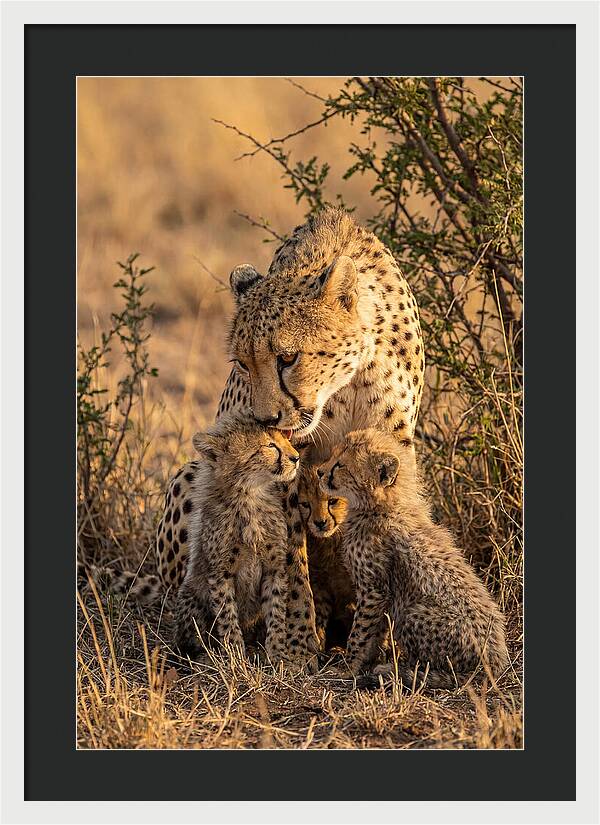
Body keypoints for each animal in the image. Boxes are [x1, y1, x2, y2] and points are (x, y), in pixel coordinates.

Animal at [174, 416, 299, 664]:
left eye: (285, 439)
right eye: (270, 445)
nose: (296, 458)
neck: (249, 496)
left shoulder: (274, 568)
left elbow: (276, 611)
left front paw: (277, 654)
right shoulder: (220, 573)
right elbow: (227, 615)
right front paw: (234, 656)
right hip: (191, 595)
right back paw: (205, 656)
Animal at [317, 428, 509, 688]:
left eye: (340, 465)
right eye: (333, 456)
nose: (319, 471)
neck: (381, 505)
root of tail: (496, 663)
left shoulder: (374, 590)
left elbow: (360, 632)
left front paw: (348, 667)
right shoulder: (382, 594)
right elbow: (374, 632)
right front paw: (364, 662)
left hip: (412, 612)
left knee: (437, 669)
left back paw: (398, 671)